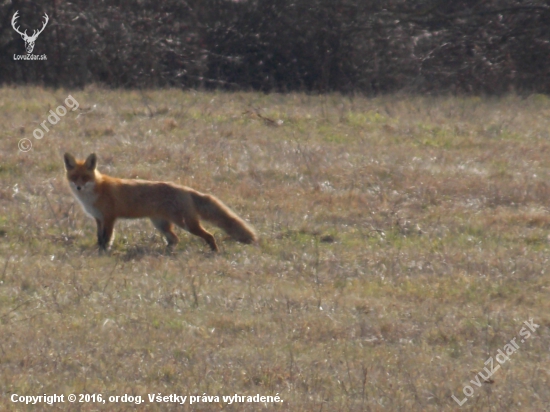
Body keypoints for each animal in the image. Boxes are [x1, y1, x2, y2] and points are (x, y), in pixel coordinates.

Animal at [63, 153, 258, 253]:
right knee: (175, 239)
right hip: (161, 224)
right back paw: (165, 252)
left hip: (186, 224)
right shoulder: (98, 219)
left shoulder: (110, 218)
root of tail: (184, 189)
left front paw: (104, 253)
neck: (95, 192)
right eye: (74, 177)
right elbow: (99, 238)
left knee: (209, 235)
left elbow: (106, 238)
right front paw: (98, 250)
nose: (78, 187)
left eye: (85, 177)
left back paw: (214, 252)